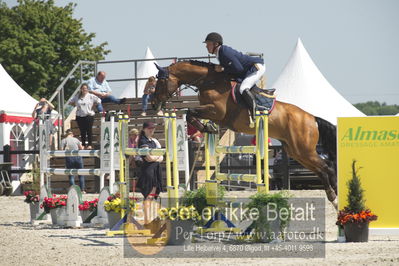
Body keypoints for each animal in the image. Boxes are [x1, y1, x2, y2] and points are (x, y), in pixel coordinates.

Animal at [152, 60, 340, 208]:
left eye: (160, 82)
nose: (154, 105)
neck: (210, 82)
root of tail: (312, 118)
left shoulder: (216, 111)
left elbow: (190, 112)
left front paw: (206, 128)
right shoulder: (212, 113)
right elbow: (191, 113)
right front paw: (208, 127)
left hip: (304, 150)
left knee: (327, 168)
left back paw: (336, 198)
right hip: (296, 152)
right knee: (322, 170)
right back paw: (335, 197)